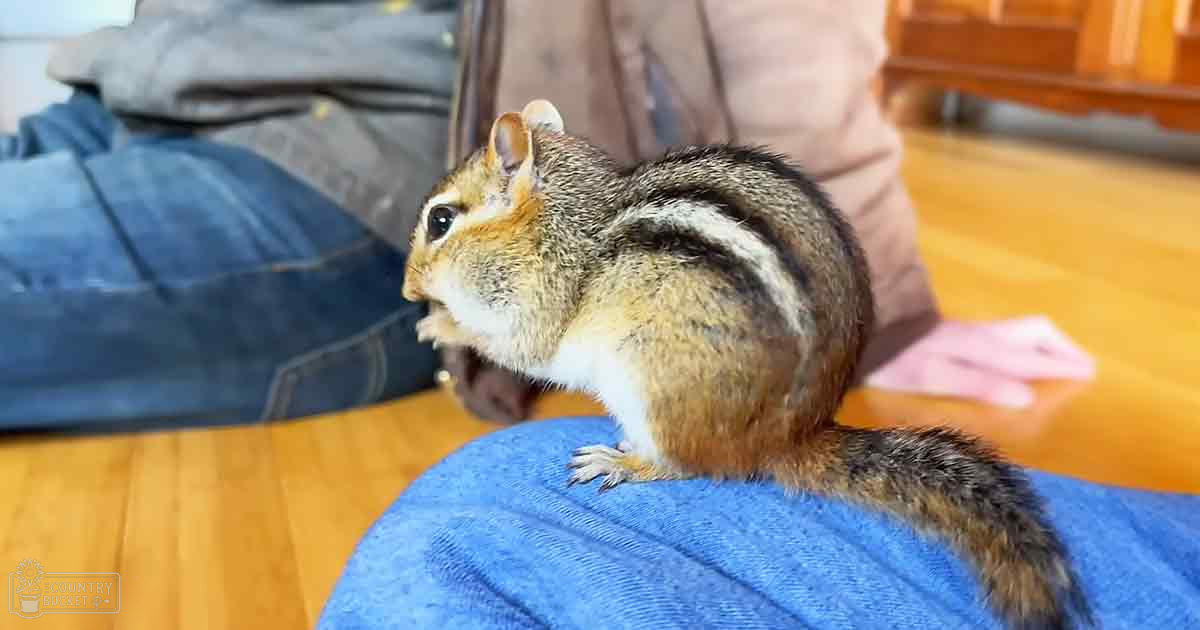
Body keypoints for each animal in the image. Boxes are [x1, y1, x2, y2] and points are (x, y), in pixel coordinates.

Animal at [401, 99, 1093, 630]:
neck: (566, 221)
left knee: (684, 465)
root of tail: (784, 440)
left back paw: (622, 461)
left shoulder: (535, 306)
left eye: (441, 220)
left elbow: (515, 347)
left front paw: (441, 323)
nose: (408, 290)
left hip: (651, 387)